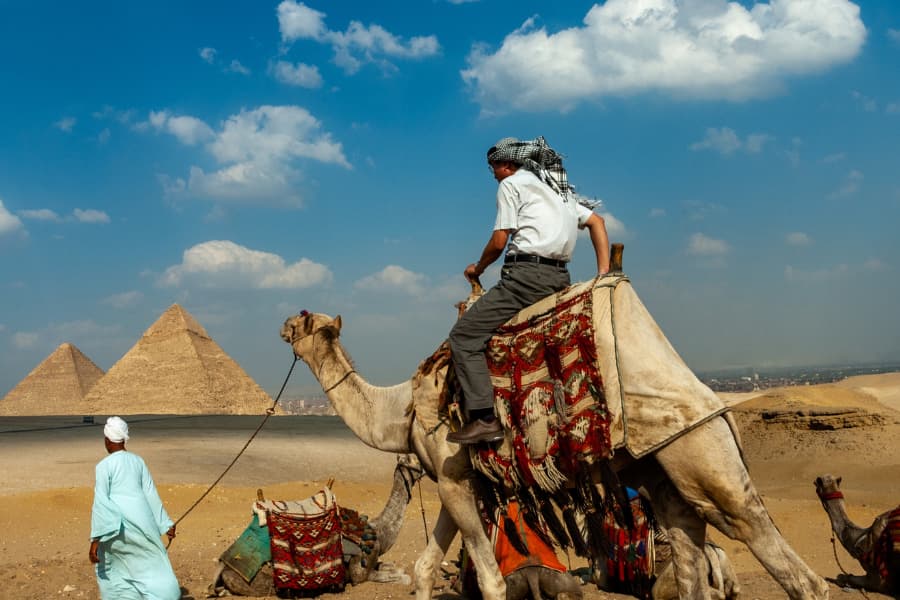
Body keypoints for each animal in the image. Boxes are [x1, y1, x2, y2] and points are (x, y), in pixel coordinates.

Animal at [281, 272, 828, 600]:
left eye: (304, 320)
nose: (283, 324)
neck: (401, 410)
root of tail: (719, 408)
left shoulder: (453, 477)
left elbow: (491, 580)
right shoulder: (455, 483)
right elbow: (424, 567)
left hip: (702, 453)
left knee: (782, 559)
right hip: (666, 475)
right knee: (690, 552)